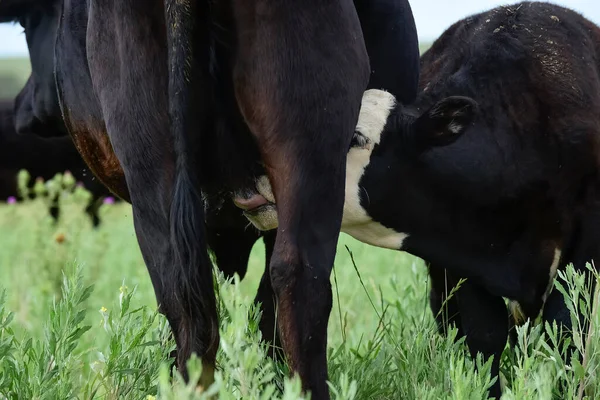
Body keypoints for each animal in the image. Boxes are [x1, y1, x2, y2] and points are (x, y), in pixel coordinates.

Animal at [241, 2, 600, 396]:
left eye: (355, 137)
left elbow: (566, 329)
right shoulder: (459, 251)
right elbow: (485, 336)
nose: (253, 177)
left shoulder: (585, 244)